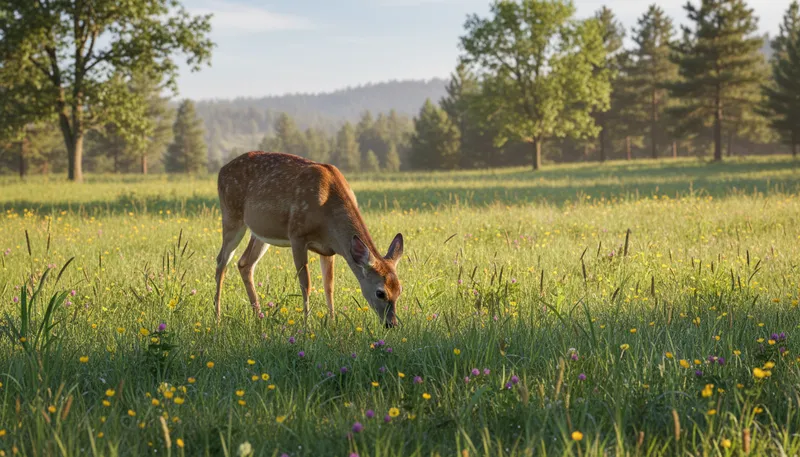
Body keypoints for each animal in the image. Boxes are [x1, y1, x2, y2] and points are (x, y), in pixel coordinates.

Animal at [214, 151, 404, 328]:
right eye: (380, 292)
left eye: (399, 290)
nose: (392, 324)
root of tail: (221, 170)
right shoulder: (297, 235)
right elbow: (306, 283)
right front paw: (307, 324)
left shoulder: (329, 249)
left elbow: (329, 285)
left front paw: (332, 322)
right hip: (231, 216)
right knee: (221, 262)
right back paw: (218, 317)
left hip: (260, 232)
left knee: (244, 263)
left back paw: (259, 316)